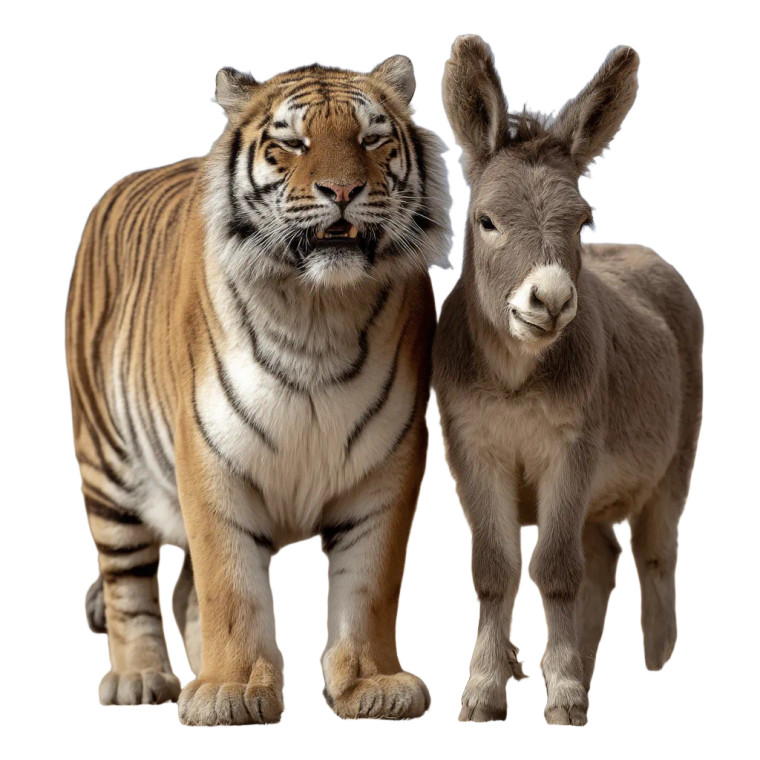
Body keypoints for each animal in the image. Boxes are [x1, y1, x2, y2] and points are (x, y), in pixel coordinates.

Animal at [65, 54, 451, 725]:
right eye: (292, 143)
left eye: (371, 139)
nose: (342, 191)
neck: (318, 311)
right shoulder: (208, 452)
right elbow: (229, 582)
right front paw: (230, 690)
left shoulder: (392, 458)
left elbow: (371, 582)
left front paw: (371, 684)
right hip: (106, 468)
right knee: (128, 583)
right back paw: (141, 678)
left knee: (182, 590)